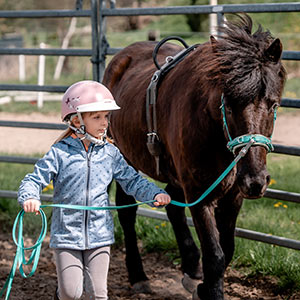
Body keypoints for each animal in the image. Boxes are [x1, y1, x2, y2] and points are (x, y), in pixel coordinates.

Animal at [103, 14, 286, 300]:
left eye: (273, 104)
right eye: (228, 105)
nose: (255, 181)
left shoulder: (233, 195)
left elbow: (227, 249)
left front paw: (201, 285)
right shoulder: (200, 195)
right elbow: (215, 256)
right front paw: (209, 289)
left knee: (172, 204)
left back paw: (190, 268)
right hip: (126, 157)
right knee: (127, 210)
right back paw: (138, 276)